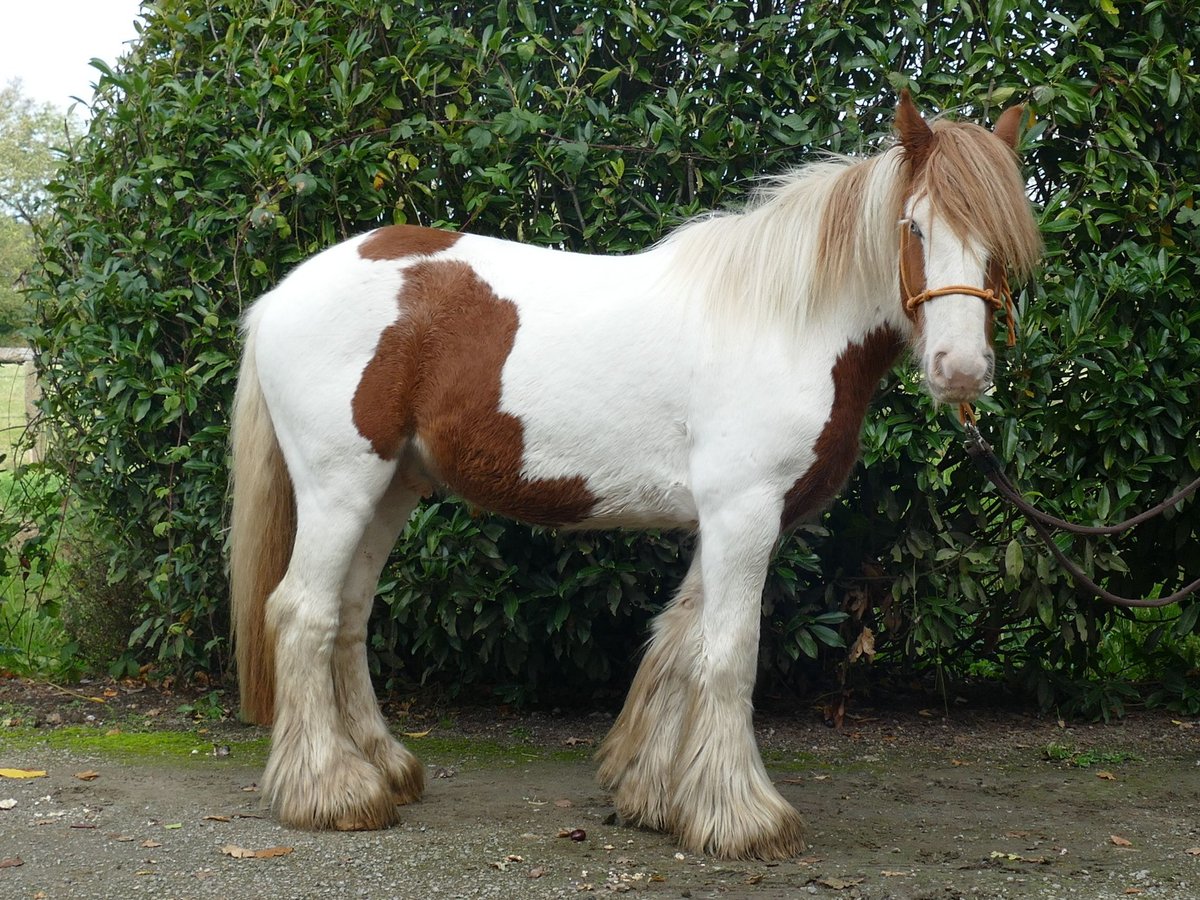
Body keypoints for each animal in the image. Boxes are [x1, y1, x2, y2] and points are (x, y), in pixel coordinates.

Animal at [225, 90, 1041, 859]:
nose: (961, 371)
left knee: (348, 615)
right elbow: (729, 654)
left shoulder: (726, 519)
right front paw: (743, 818)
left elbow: (680, 642)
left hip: (390, 491)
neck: (785, 323)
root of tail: (279, 299)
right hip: (340, 488)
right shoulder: (744, 512)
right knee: (302, 612)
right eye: (915, 227)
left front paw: (656, 795)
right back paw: (332, 792)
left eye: (1002, 242)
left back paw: (383, 769)